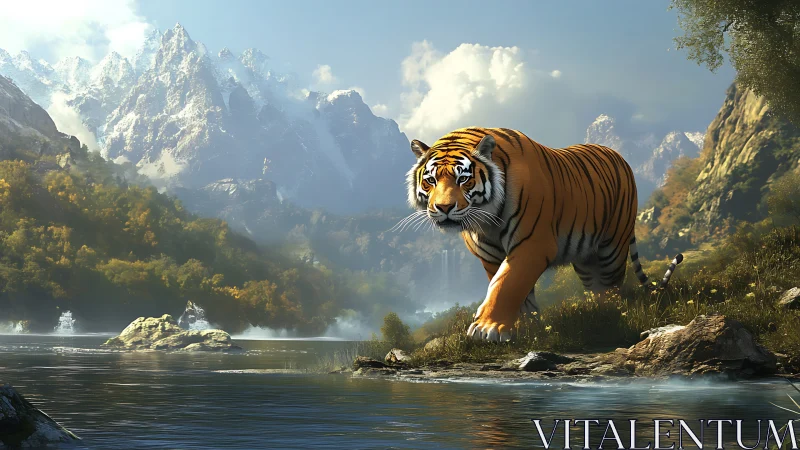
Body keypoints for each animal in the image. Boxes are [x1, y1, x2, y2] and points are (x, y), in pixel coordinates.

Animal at [402, 127, 683, 342]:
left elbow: (507, 283)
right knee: (596, 287)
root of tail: (618, 155)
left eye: (463, 179)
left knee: (612, 287)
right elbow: (512, 288)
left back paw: (611, 317)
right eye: (430, 180)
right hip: (585, 258)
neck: (485, 221)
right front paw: (522, 327)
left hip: (612, 246)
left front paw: (487, 328)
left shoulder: (532, 244)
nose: (444, 208)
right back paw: (596, 314)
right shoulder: (490, 255)